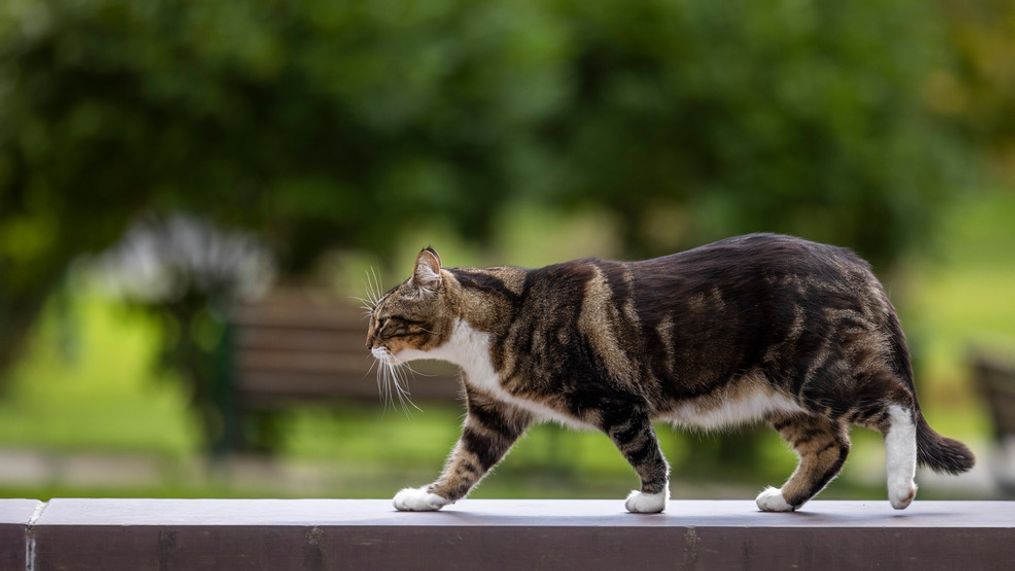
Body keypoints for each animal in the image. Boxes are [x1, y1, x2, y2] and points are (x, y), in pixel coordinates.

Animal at [365, 232, 974, 513]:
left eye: (386, 319)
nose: (368, 345)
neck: (499, 320)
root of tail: (853, 262)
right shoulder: (494, 413)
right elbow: (464, 465)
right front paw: (426, 498)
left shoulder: (615, 401)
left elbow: (644, 451)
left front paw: (651, 501)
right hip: (781, 395)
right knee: (832, 446)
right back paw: (783, 499)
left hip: (818, 371)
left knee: (895, 401)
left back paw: (900, 487)